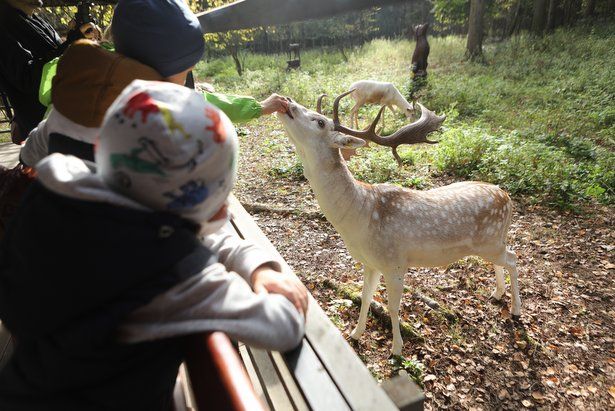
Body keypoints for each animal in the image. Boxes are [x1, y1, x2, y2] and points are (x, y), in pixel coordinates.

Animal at [276, 94, 524, 358]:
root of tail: (508, 198)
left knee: (513, 258)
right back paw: (497, 293)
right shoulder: (370, 263)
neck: (359, 218)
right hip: (491, 243)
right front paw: (356, 333)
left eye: (320, 122)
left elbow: (393, 306)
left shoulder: (394, 262)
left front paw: (396, 349)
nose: (288, 101)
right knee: (502, 260)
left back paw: (516, 309)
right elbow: (365, 296)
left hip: (491, 241)